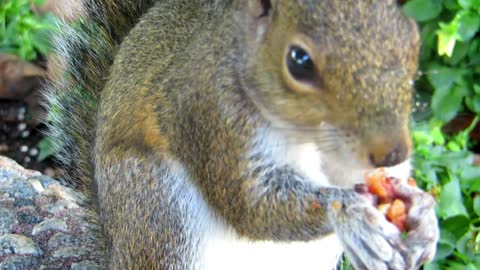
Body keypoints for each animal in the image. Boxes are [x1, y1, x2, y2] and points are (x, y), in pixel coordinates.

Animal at [45, 0, 438, 268]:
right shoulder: (210, 115)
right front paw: (350, 213)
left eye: (412, 38)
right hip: (157, 206)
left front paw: (423, 213)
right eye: (299, 61)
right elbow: (251, 205)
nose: (393, 152)